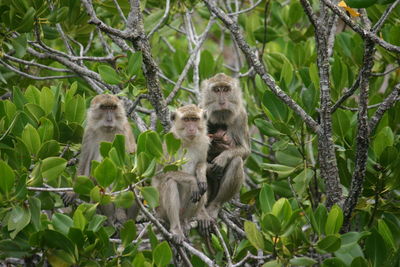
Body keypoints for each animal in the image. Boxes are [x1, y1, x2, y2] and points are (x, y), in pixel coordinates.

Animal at [62, 94, 138, 228]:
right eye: (104, 107)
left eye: (112, 107)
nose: (109, 119)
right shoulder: (89, 132)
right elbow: (85, 163)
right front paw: (72, 192)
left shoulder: (122, 133)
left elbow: (126, 171)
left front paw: (120, 213)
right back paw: (108, 216)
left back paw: (120, 219)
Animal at [152, 104, 211, 245]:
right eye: (186, 119)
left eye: (194, 119)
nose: (191, 128)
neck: (188, 141)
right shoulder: (169, 143)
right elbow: (163, 173)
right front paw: (193, 180)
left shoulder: (204, 142)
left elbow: (202, 163)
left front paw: (200, 176)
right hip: (160, 209)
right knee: (170, 183)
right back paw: (176, 229)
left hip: (183, 212)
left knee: (201, 190)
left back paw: (185, 222)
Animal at [199, 73, 252, 226]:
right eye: (217, 90)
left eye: (226, 89)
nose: (222, 101)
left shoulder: (241, 116)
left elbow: (245, 150)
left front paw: (222, 157)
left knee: (236, 162)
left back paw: (214, 206)